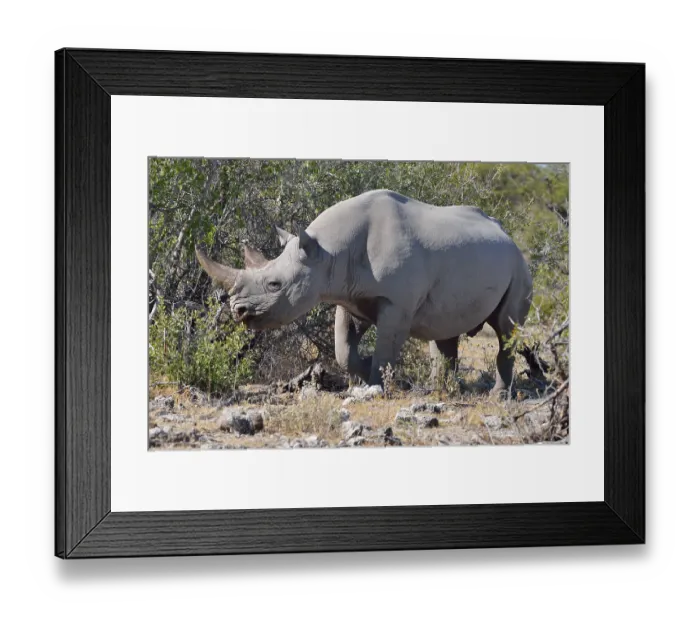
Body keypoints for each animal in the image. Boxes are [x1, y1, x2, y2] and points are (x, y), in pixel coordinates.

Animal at [196, 189, 534, 395]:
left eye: (274, 285)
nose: (238, 310)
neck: (327, 253)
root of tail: (507, 236)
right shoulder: (348, 296)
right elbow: (343, 348)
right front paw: (364, 375)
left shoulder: (396, 303)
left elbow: (385, 344)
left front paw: (377, 385)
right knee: (445, 330)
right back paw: (442, 390)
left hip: (519, 265)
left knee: (506, 327)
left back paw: (498, 395)